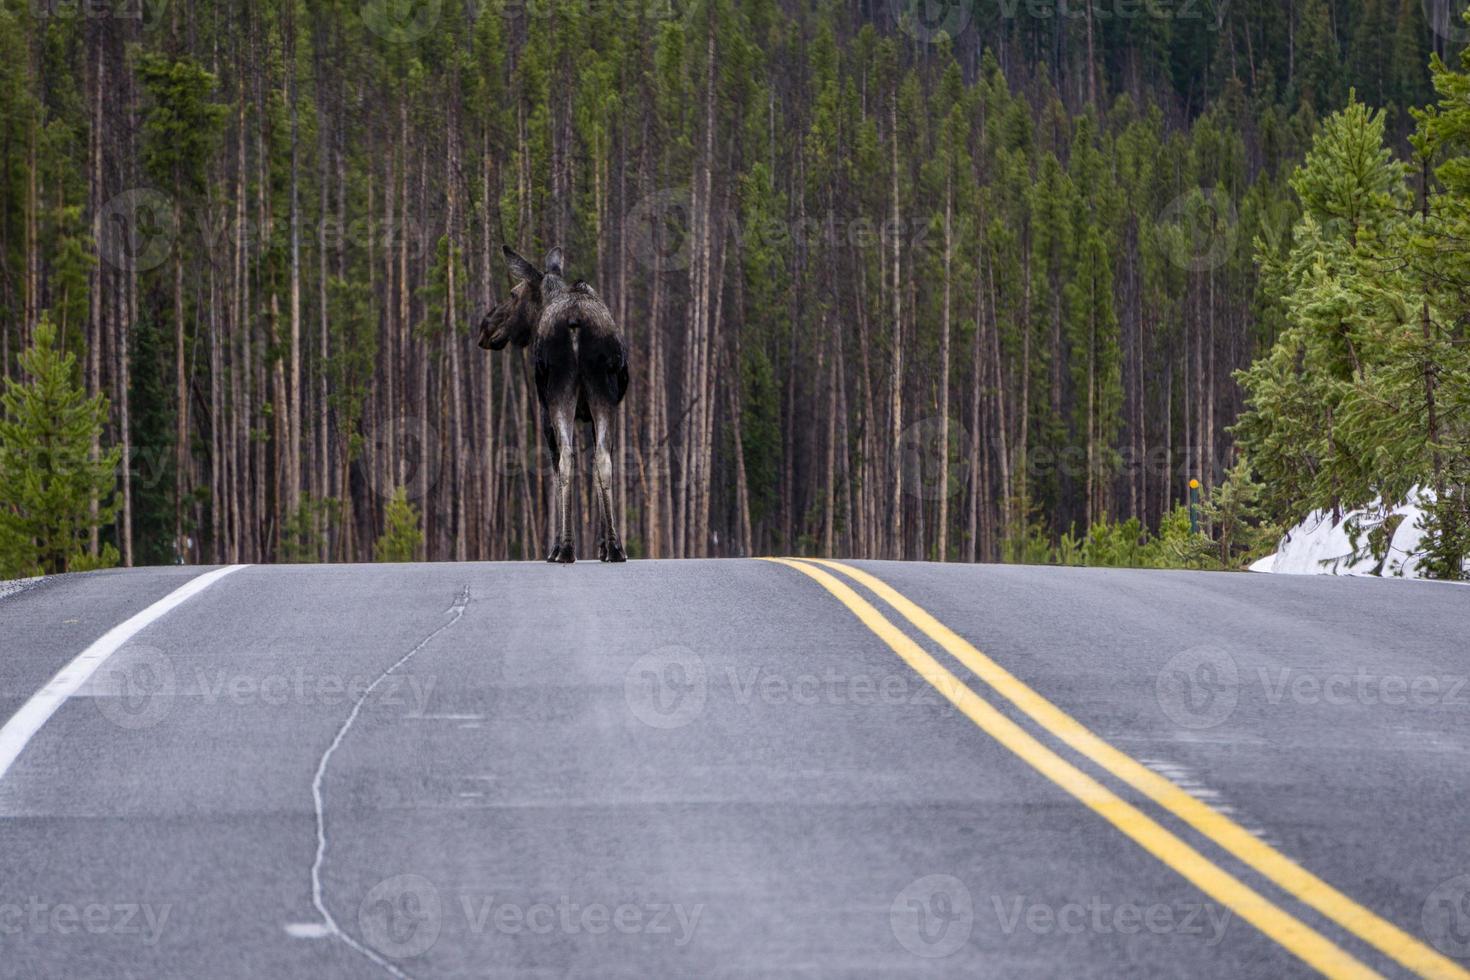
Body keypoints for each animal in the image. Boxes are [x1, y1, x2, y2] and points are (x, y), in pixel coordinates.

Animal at [476, 245, 626, 564]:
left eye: (513, 293)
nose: (485, 327)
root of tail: (575, 321)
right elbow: (596, 467)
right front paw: (605, 545)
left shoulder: (545, 413)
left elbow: (557, 471)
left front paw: (557, 545)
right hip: (603, 395)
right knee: (603, 458)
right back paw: (616, 548)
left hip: (558, 396)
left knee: (566, 459)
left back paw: (566, 549)